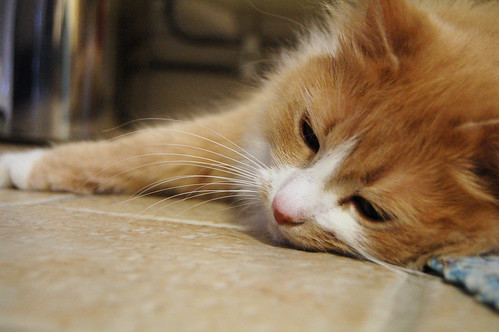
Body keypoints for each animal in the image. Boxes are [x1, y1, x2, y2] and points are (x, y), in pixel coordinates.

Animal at [0, 0, 499, 270]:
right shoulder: (246, 128)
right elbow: (147, 147)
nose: (281, 210)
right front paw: (19, 163)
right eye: (309, 135)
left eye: (372, 210)